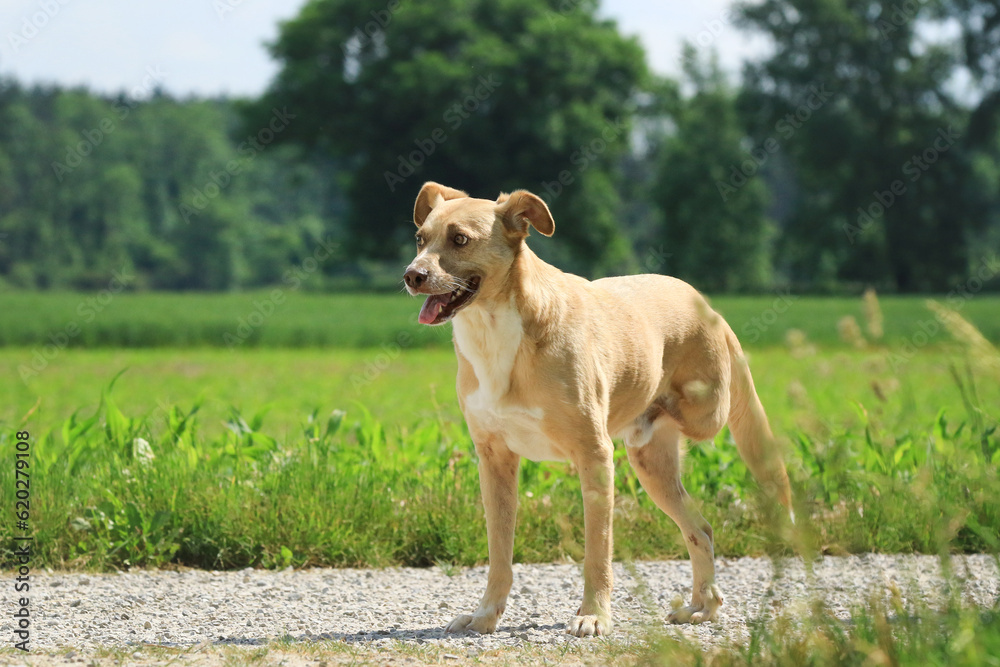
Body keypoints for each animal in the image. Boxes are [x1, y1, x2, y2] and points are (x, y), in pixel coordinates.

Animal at [400, 181, 788, 636]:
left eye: (460, 239)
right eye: (420, 239)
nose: (411, 276)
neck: (494, 331)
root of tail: (706, 304)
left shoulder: (595, 455)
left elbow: (597, 554)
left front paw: (594, 615)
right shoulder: (494, 460)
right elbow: (499, 556)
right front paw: (485, 615)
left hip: (703, 412)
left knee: (719, 423)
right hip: (652, 468)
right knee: (702, 530)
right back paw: (702, 606)